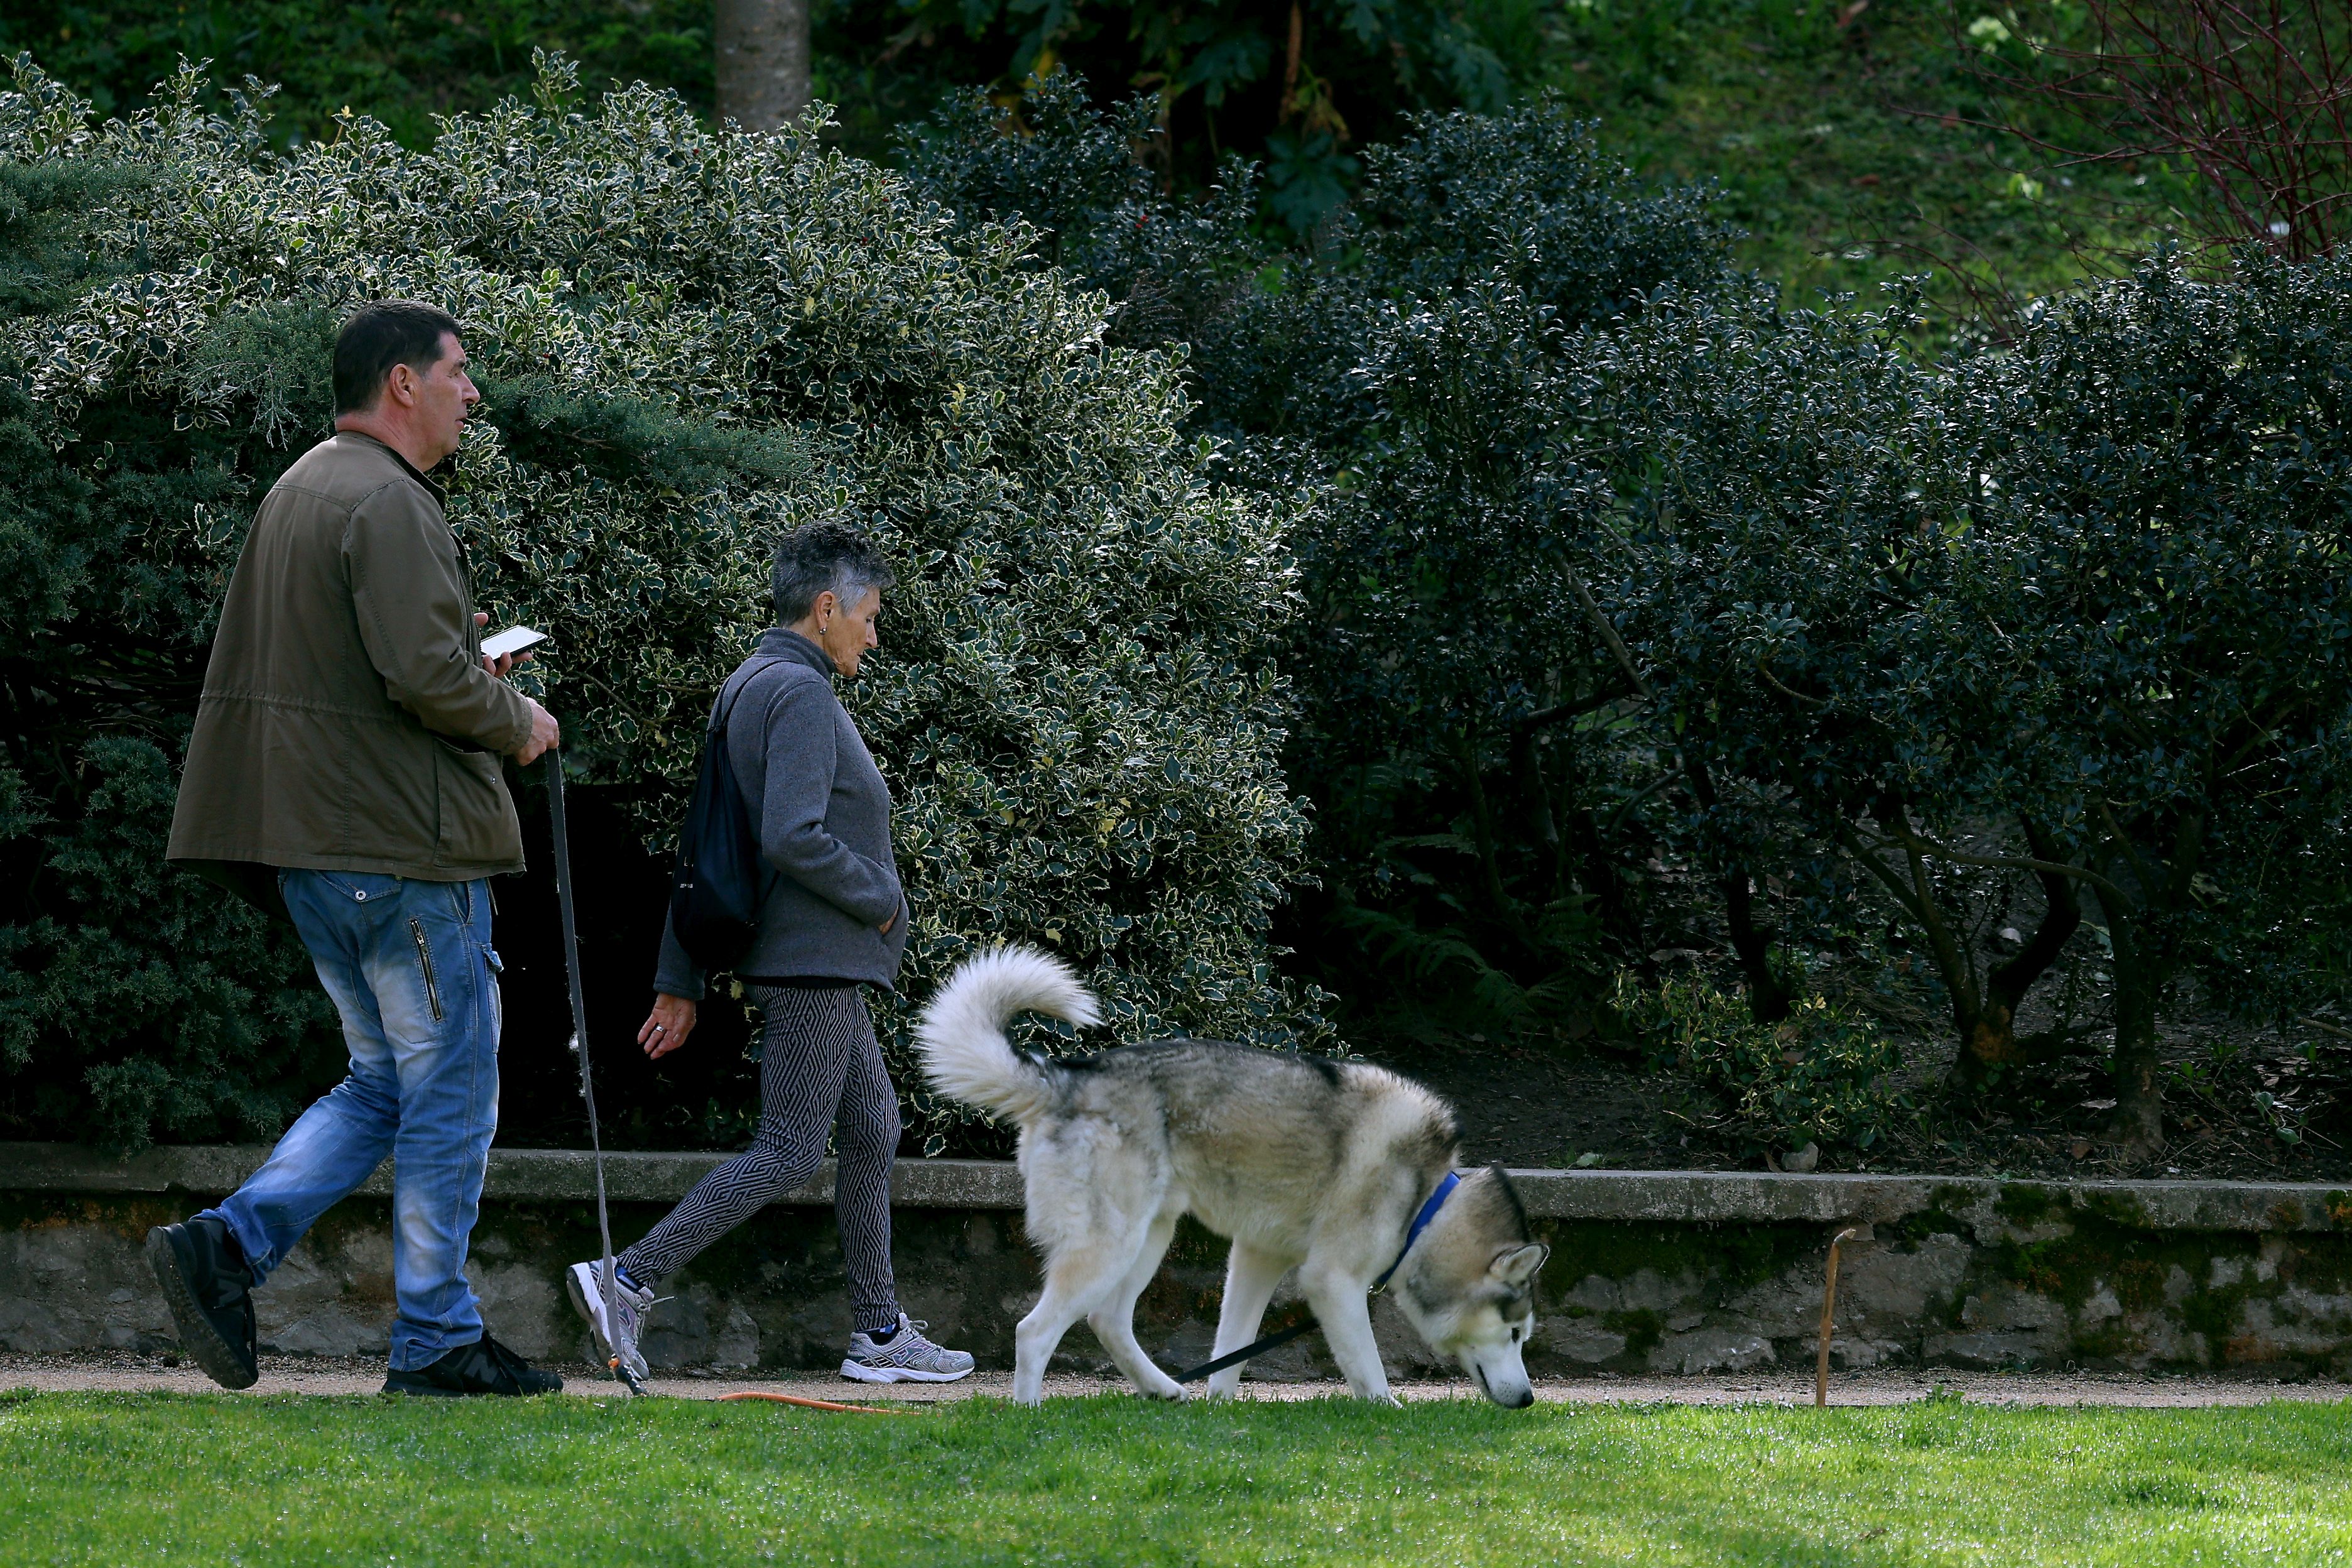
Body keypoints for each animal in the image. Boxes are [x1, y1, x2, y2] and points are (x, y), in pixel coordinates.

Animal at [912, 945, 1543, 1410]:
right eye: (1515, 1334)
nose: (1530, 1400)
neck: (1426, 1204)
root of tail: (1068, 1077)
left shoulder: (1258, 1257)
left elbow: (1233, 1348)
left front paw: (1221, 1412)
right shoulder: (1331, 1282)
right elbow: (1368, 1369)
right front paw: (1387, 1411)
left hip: (1149, 1237)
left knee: (1106, 1319)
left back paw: (1162, 1389)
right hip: (1109, 1245)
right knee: (1034, 1331)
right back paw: (1029, 1414)